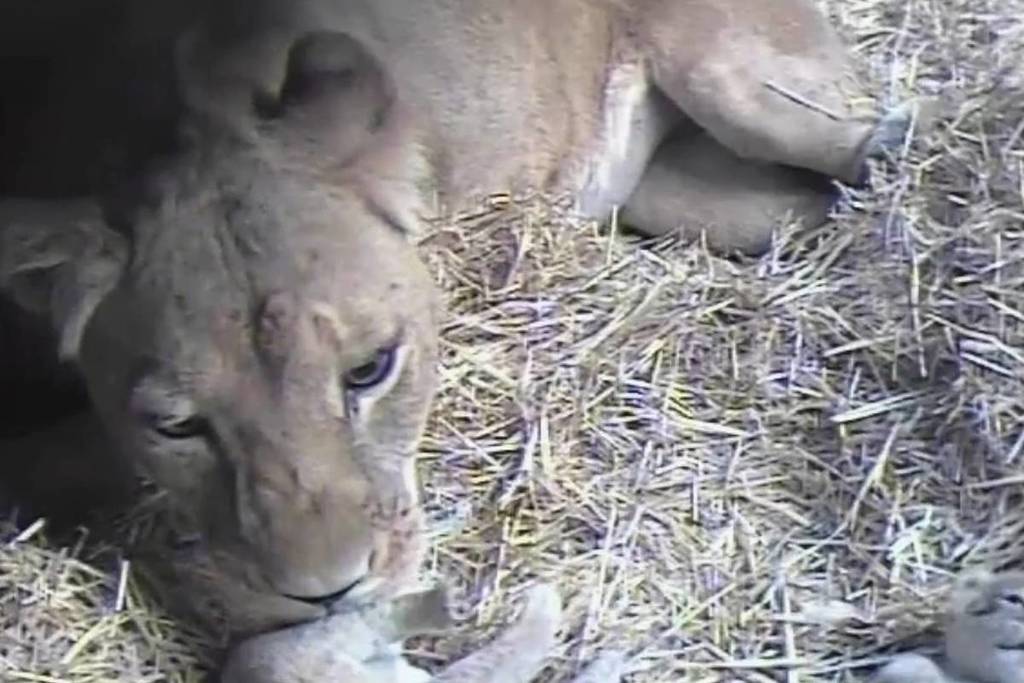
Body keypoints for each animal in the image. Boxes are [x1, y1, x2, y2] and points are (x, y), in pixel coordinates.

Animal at [0, 0, 928, 641]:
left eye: (369, 369)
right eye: (176, 425)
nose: (330, 591)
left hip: (747, 82)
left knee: (879, 141)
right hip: (697, 202)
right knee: (805, 204)